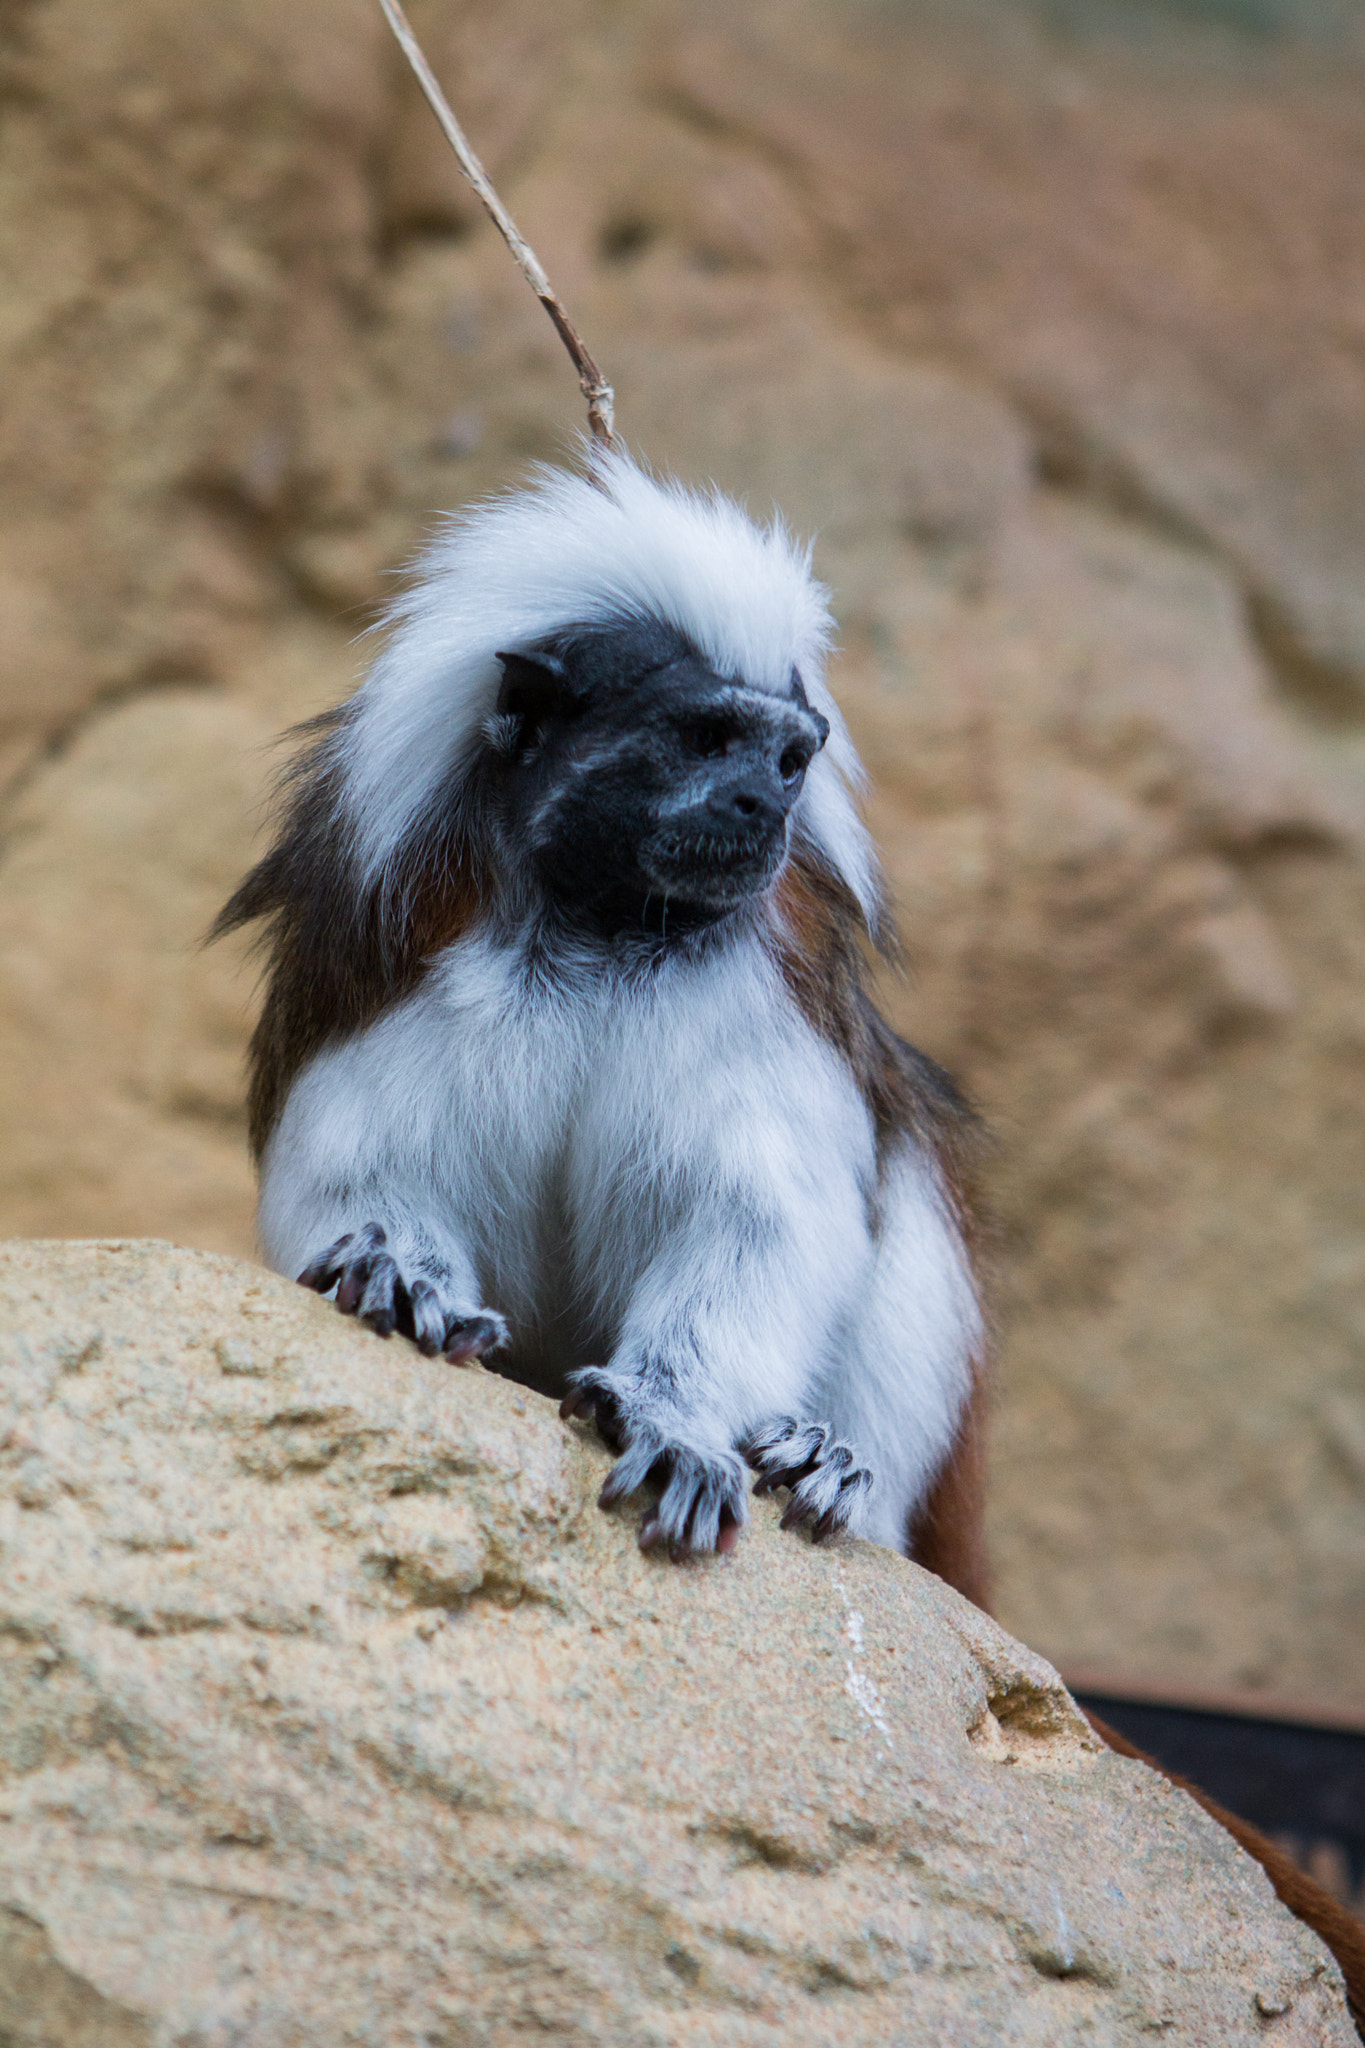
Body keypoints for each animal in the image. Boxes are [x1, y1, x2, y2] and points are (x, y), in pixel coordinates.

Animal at [218, 452, 986, 1564]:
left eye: (788, 759)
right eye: (704, 738)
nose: (766, 804)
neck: (598, 929)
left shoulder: (766, 1001)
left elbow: (759, 1218)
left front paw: (673, 1417)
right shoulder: (400, 967)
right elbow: (362, 1172)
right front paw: (400, 1274)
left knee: (908, 1160)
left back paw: (829, 1464)